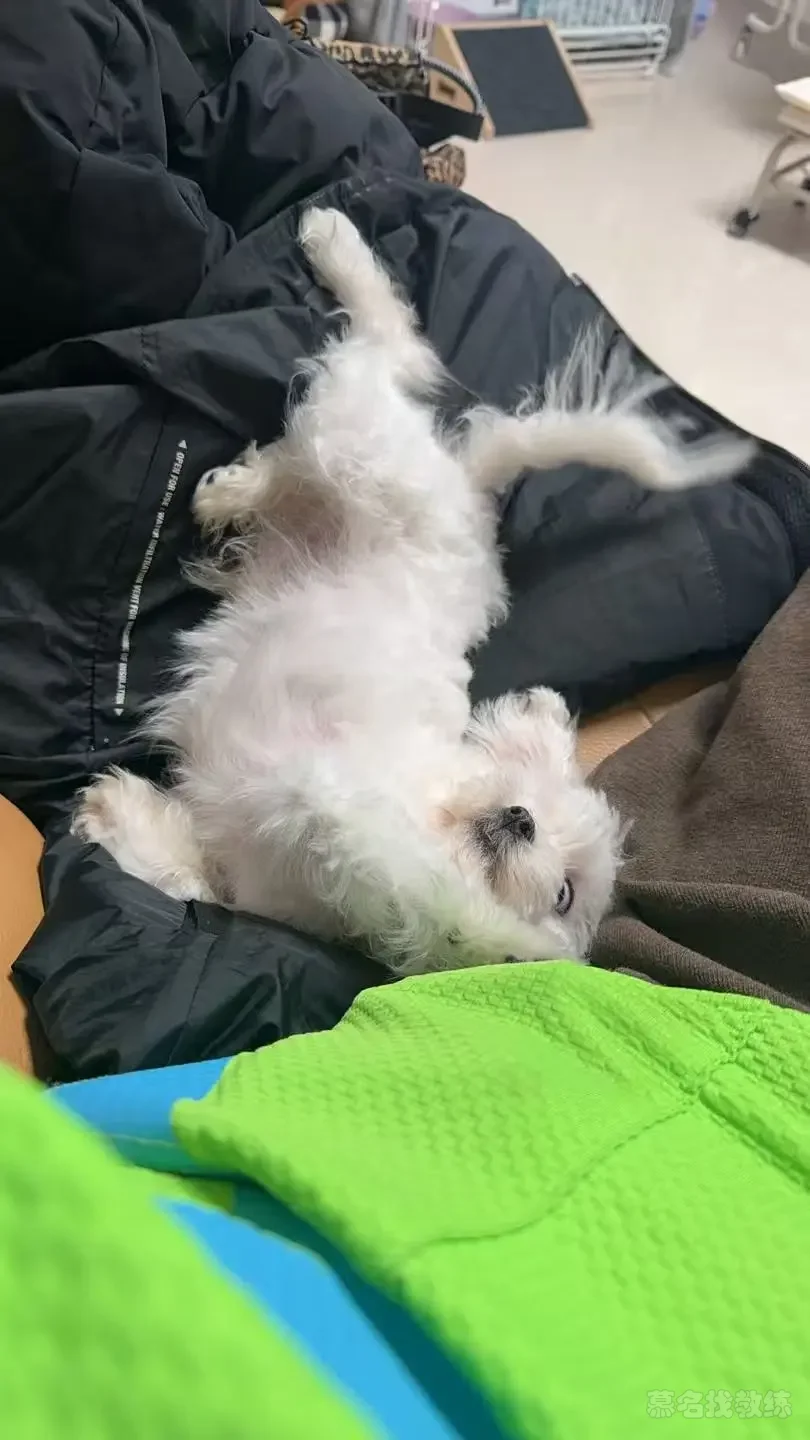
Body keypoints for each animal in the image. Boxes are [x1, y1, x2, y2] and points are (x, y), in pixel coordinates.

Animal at [73, 208, 751, 973]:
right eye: (532, 803)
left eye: (563, 896)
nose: (518, 819)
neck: (432, 814)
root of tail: (469, 491)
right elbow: (374, 844)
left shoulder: (249, 879)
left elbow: (194, 875)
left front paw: (113, 813)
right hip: (368, 452)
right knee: (384, 348)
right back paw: (330, 243)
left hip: (354, 451)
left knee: (342, 402)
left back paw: (234, 489)